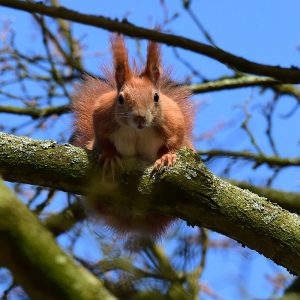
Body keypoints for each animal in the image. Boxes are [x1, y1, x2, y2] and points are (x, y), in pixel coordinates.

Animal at [72, 34, 195, 237]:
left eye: (156, 97)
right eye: (120, 98)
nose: (140, 117)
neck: (137, 130)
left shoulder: (174, 120)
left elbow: (175, 140)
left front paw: (166, 157)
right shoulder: (102, 115)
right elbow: (102, 138)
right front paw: (109, 156)